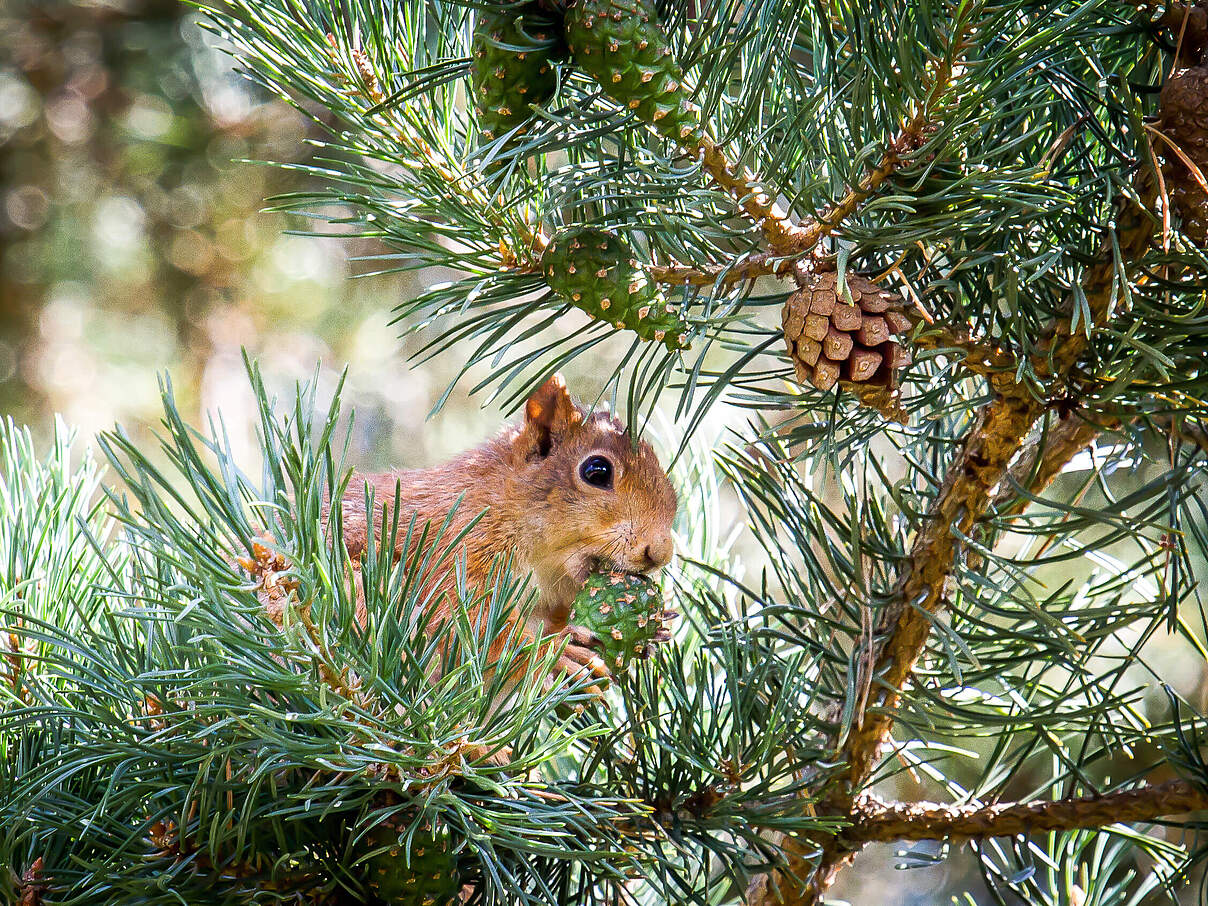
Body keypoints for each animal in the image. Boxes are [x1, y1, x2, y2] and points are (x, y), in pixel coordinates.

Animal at [319, 373, 678, 688]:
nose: (660, 552)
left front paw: (655, 629)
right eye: (597, 471)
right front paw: (555, 652)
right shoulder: (457, 544)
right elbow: (464, 619)